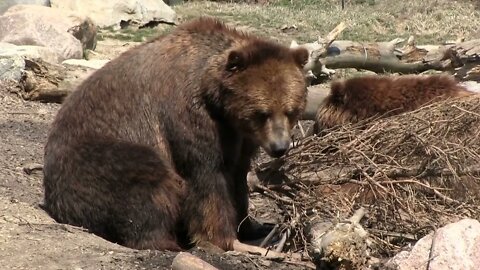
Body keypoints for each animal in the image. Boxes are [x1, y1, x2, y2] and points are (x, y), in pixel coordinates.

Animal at [43, 17, 310, 253]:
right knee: (146, 181)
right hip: (99, 153)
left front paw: (251, 226)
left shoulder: (242, 137)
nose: (279, 147)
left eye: (290, 110)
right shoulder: (189, 115)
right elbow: (207, 176)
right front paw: (228, 240)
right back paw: (165, 240)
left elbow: (238, 174)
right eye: (262, 113)